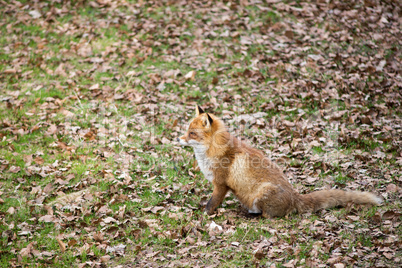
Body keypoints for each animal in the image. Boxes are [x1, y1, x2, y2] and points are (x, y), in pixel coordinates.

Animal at [179, 105, 384, 218]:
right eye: (187, 130)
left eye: (192, 133)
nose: (179, 139)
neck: (215, 150)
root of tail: (295, 197)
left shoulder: (221, 184)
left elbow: (211, 204)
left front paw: (203, 215)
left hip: (261, 194)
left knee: (268, 216)